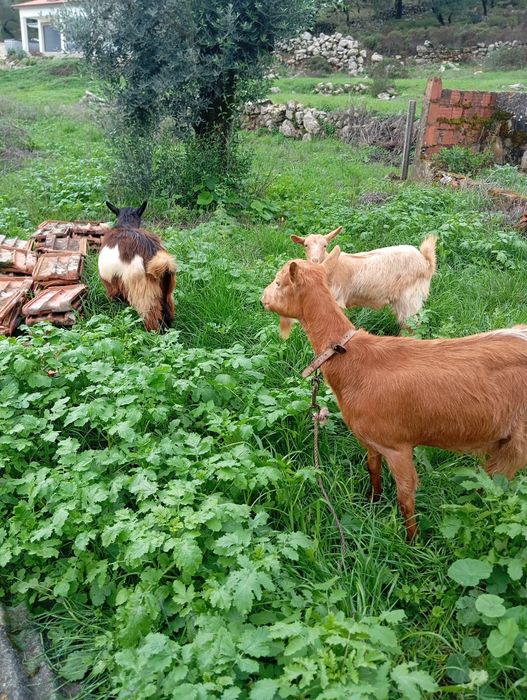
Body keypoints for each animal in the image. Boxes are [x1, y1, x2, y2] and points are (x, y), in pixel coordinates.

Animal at [262, 247, 527, 540]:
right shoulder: (370, 438)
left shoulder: (397, 445)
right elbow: (372, 468)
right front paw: (372, 502)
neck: (353, 360)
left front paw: (413, 541)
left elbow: (405, 497)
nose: (263, 298)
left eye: (278, 283)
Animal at [283, 227, 437, 337]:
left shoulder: (336, 300)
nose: (314, 260)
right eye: (306, 245)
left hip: (409, 298)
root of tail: (426, 262)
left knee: (413, 325)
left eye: (325, 245)